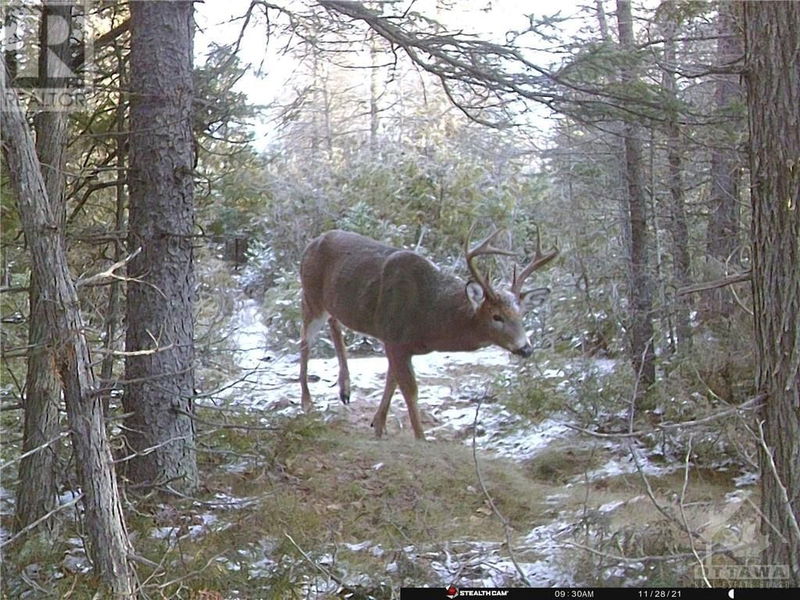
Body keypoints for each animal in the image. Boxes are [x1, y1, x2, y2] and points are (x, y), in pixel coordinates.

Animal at [298, 227, 556, 438]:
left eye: (521, 315)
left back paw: (345, 389)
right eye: (496, 316)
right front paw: (421, 437)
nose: (526, 348)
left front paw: (379, 424)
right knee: (305, 340)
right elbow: (409, 390)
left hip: (332, 303)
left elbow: (392, 380)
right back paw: (307, 402)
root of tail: (311, 243)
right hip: (311, 296)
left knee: (334, 324)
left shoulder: (396, 343)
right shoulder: (393, 336)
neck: (429, 317)